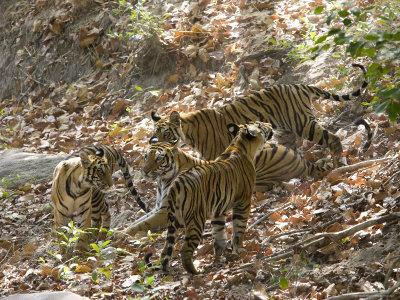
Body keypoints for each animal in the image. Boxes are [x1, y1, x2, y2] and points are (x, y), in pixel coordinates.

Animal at [119, 141, 332, 239]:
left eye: (159, 159)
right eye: (146, 156)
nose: (145, 170)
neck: (162, 182)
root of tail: (301, 158)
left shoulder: (165, 211)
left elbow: (140, 225)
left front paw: (119, 235)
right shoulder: (158, 208)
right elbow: (138, 220)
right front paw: (115, 230)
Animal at [148, 63, 368, 166]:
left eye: (166, 134)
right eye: (155, 135)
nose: (156, 144)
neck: (188, 134)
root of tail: (298, 85)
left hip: (302, 123)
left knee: (333, 138)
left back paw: (338, 161)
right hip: (286, 131)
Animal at [148, 122, 276, 274]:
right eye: (260, 125)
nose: (269, 124)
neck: (240, 145)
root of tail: (176, 184)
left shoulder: (218, 211)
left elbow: (219, 235)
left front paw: (220, 257)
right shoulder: (243, 202)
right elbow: (239, 228)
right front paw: (239, 250)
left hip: (174, 219)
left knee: (166, 248)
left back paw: (164, 268)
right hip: (195, 219)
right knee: (185, 249)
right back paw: (194, 271)